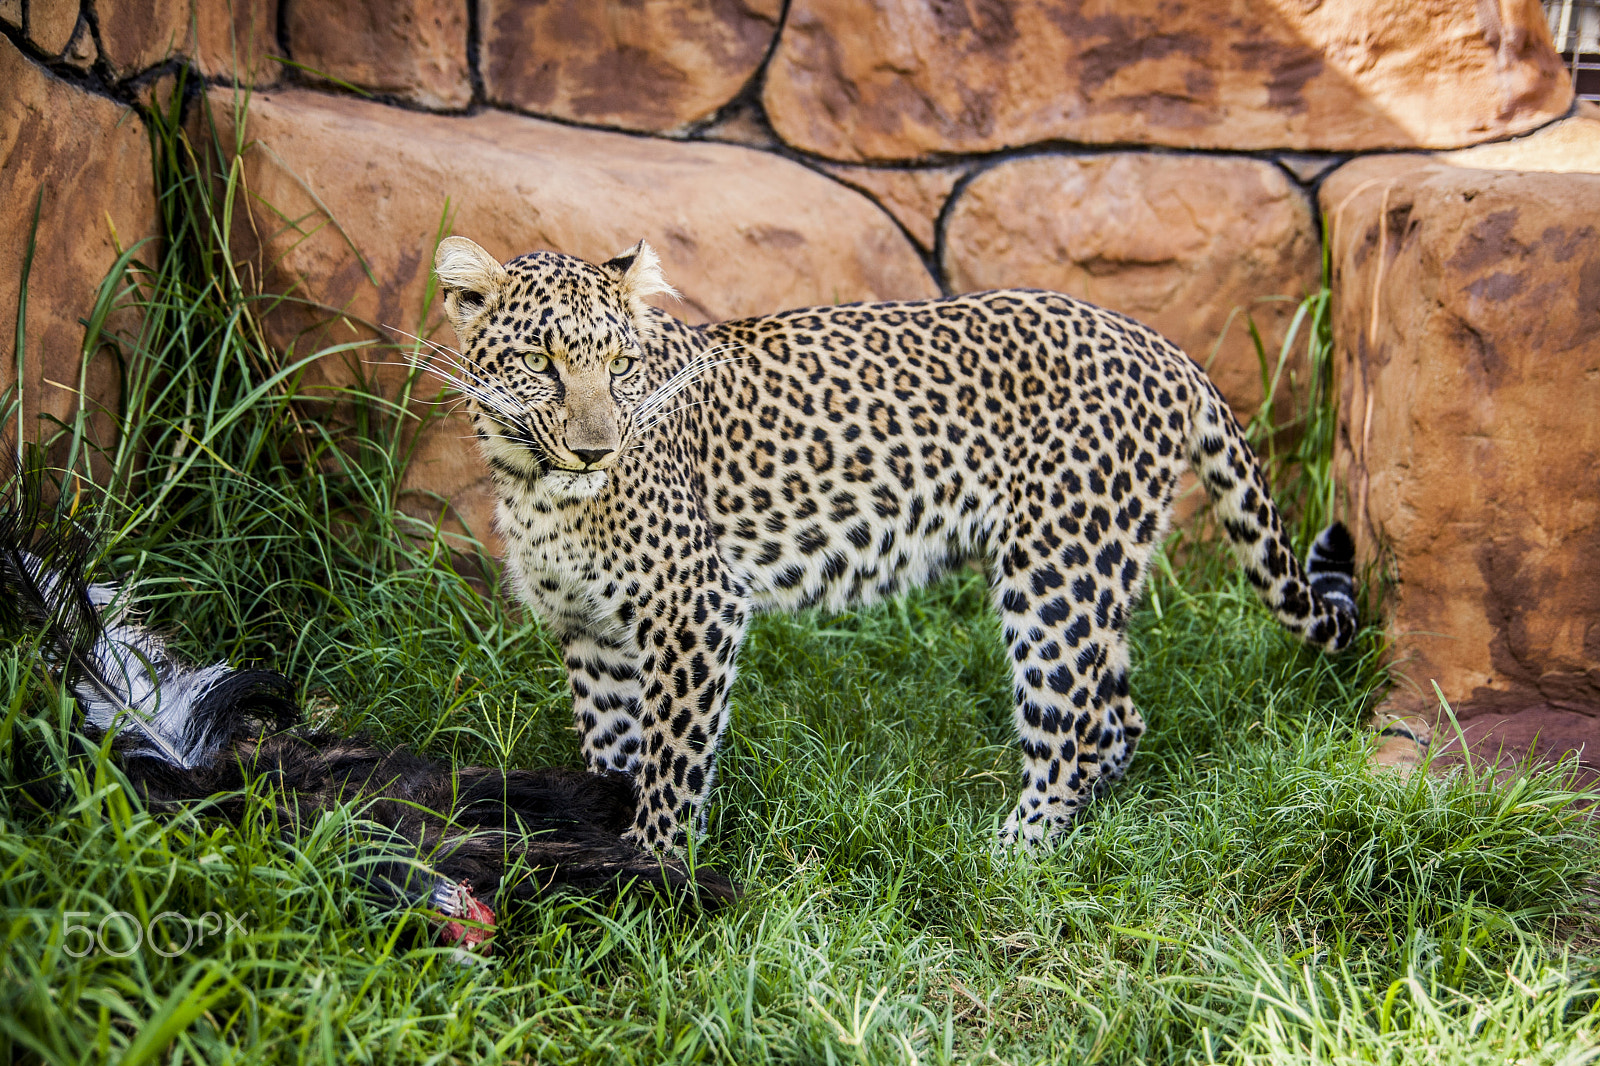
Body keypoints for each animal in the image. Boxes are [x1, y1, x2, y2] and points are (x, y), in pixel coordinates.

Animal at [426, 235, 1359, 851]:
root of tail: (1164, 346)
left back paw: (1013, 855)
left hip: (1055, 568)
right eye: (541, 364)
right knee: (1118, 712)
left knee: (1068, 723)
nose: (596, 449)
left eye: (620, 367)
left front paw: (655, 873)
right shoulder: (592, 634)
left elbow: (672, 760)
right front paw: (606, 841)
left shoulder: (698, 611)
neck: (535, 484)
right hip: (1101, 566)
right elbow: (614, 752)